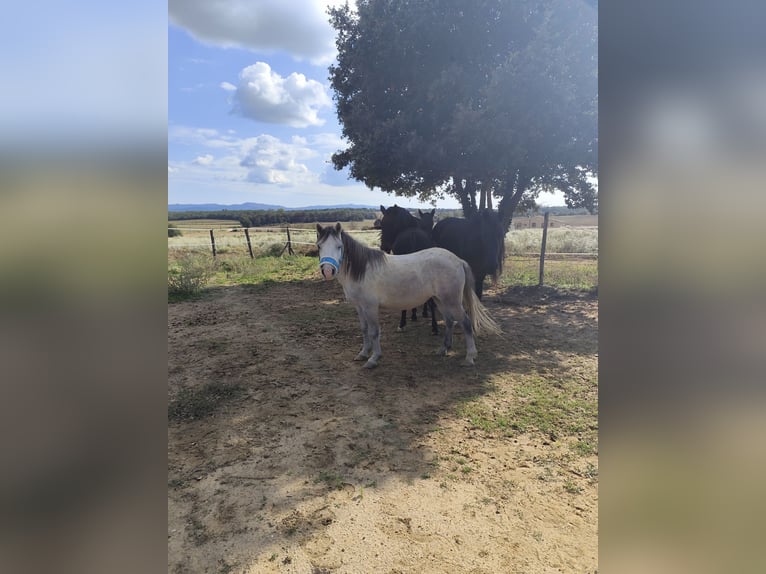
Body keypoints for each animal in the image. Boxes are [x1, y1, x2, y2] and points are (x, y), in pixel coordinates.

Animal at [316, 223, 500, 372]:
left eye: (339, 246)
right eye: (319, 247)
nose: (328, 271)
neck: (362, 270)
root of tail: (458, 260)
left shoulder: (370, 307)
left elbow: (374, 332)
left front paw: (373, 359)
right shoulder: (359, 307)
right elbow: (364, 329)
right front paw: (363, 353)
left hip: (452, 301)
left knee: (466, 323)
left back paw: (469, 357)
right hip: (440, 300)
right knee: (449, 322)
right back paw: (443, 349)